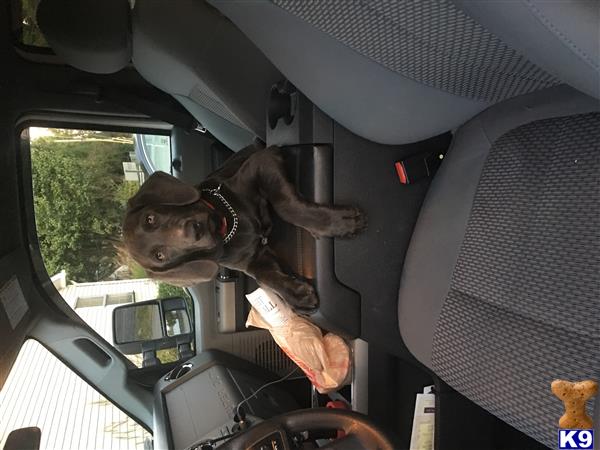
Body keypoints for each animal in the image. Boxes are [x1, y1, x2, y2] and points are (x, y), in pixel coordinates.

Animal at [123, 145, 366, 312]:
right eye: (160, 256)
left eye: (150, 218)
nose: (194, 230)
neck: (229, 225)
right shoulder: (253, 261)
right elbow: (265, 277)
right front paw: (296, 296)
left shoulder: (261, 163)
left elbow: (285, 205)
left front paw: (342, 222)